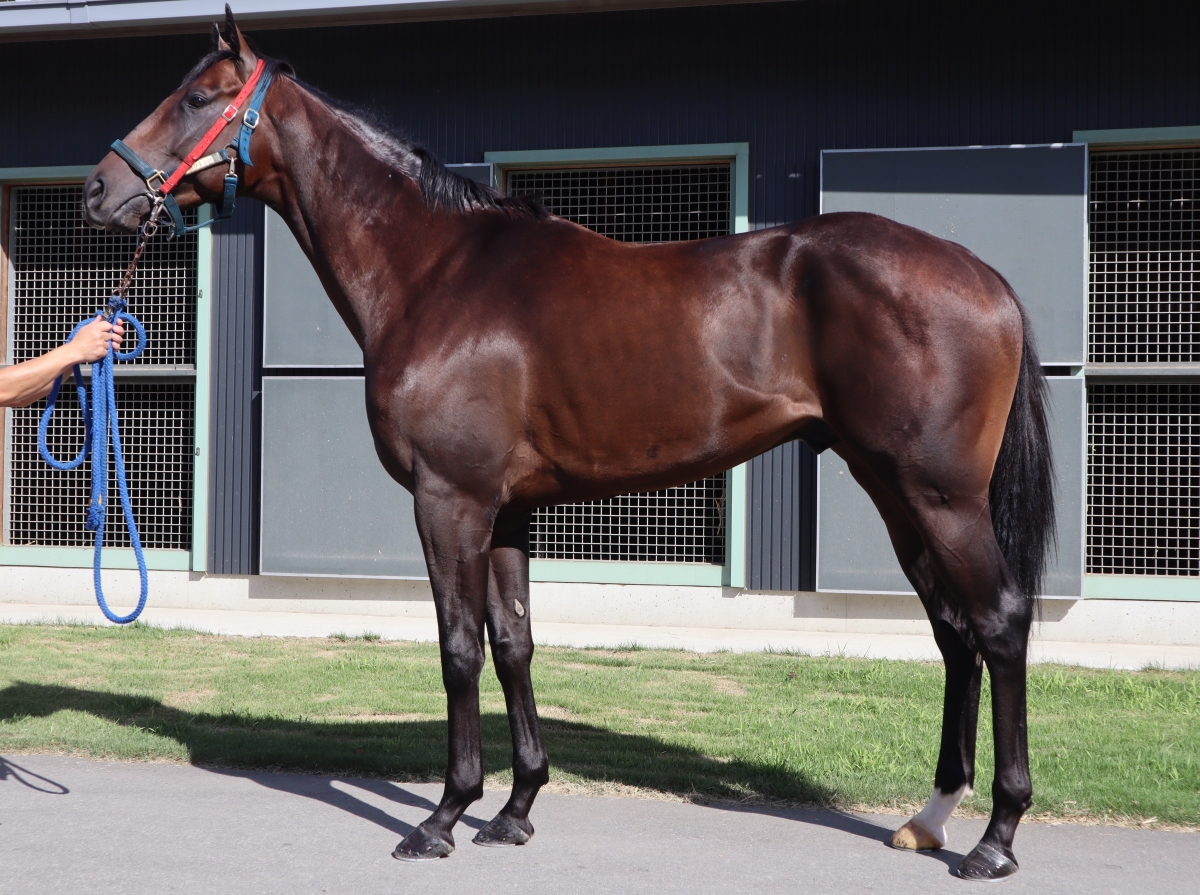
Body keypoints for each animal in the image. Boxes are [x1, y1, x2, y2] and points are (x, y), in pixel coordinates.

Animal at [82, 8, 1054, 881]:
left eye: (197, 95)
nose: (99, 189)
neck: (436, 271)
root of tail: (984, 275)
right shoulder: (506, 510)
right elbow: (514, 643)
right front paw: (515, 809)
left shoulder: (449, 501)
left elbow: (458, 648)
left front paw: (442, 816)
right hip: (894, 491)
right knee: (954, 632)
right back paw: (931, 816)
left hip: (938, 496)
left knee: (999, 621)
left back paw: (995, 838)